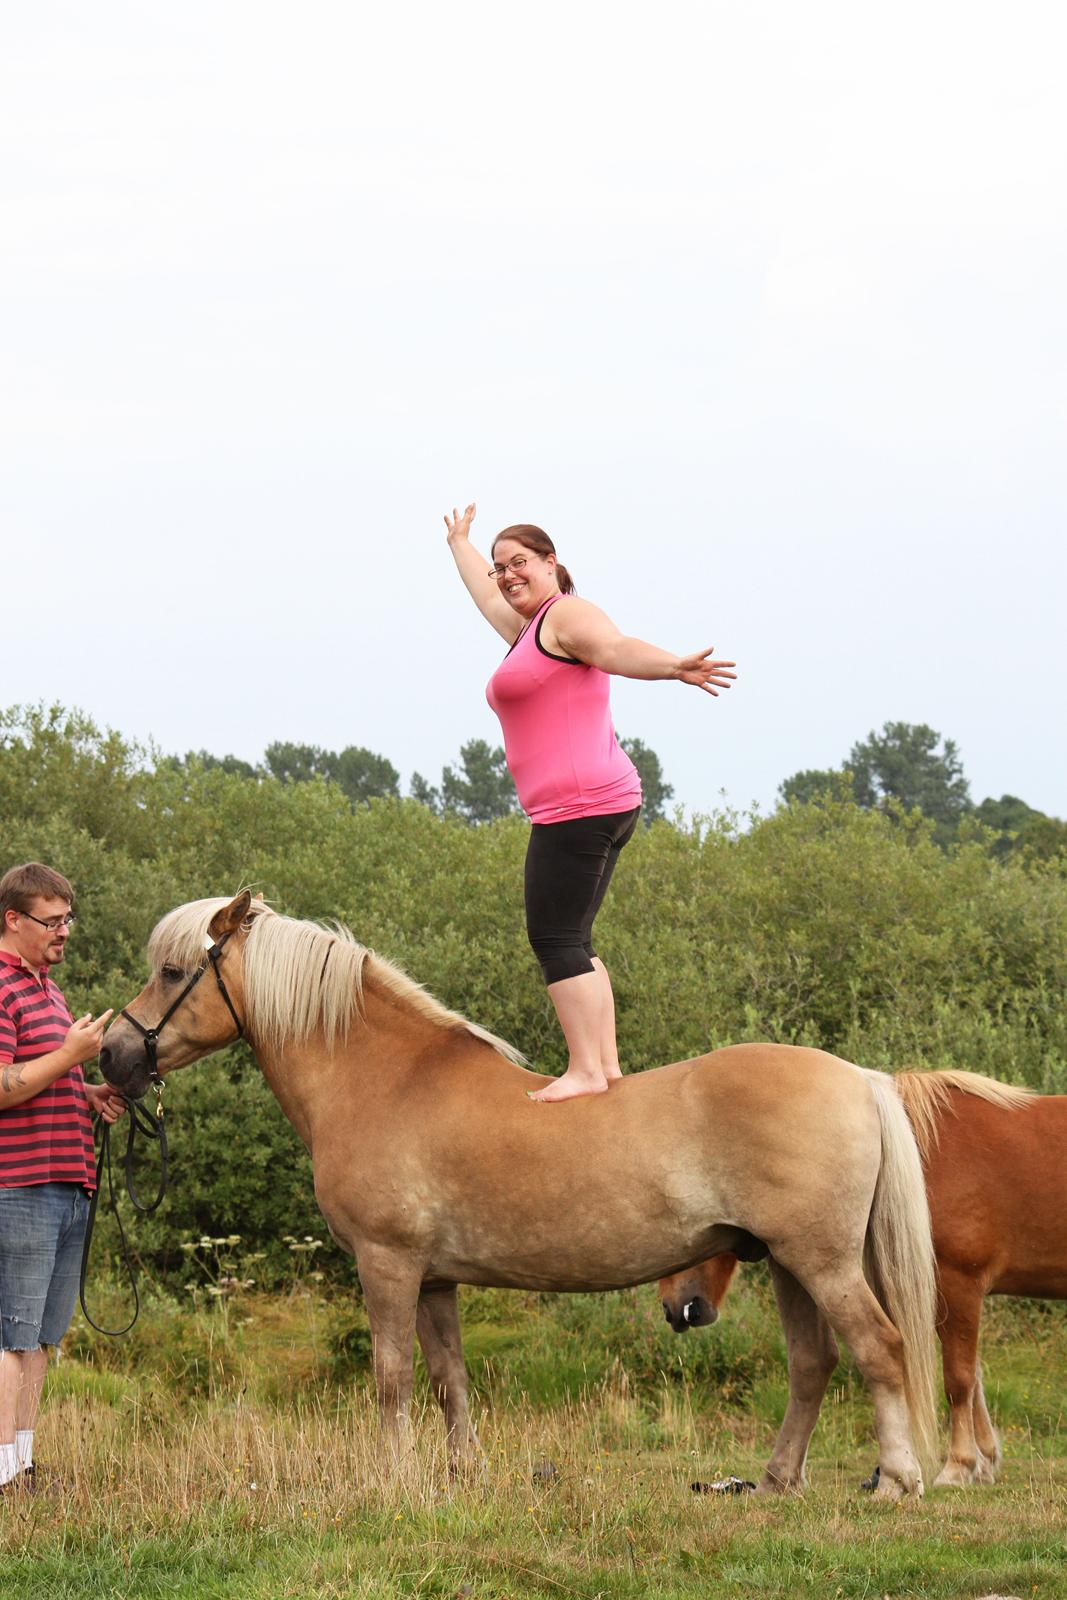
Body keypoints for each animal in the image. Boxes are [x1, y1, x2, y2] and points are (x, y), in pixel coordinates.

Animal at [95, 896, 940, 1491]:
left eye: (171, 972)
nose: (111, 1054)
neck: (385, 1080)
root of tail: (856, 1078)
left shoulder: (386, 1265)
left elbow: (392, 1376)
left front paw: (390, 1480)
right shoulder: (434, 1280)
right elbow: (448, 1378)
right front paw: (461, 1473)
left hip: (820, 1260)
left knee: (878, 1349)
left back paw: (895, 1480)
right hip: (788, 1263)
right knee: (812, 1364)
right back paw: (774, 1480)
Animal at [655, 1068, 1049, 1491]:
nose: (672, 1307)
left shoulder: (960, 1285)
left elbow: (960, 1378)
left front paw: (958, 1467)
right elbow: (972, 1376)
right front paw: (984, 1461)